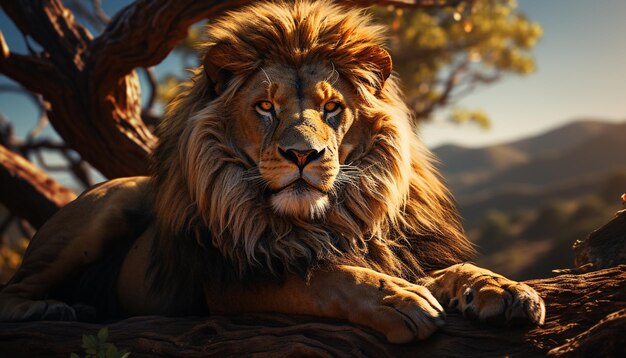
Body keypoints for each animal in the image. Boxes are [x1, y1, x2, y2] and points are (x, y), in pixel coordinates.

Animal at [0, 0, 540, 344]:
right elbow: (322, 277)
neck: (330, 220)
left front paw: (501, 289)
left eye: (332, 109)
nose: (303, 155)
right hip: (107, 206)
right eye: (265, 106)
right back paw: (53, 308)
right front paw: (397, 301)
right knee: (13, 291)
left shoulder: (397, 247)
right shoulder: (231, 279)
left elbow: (448, 269)